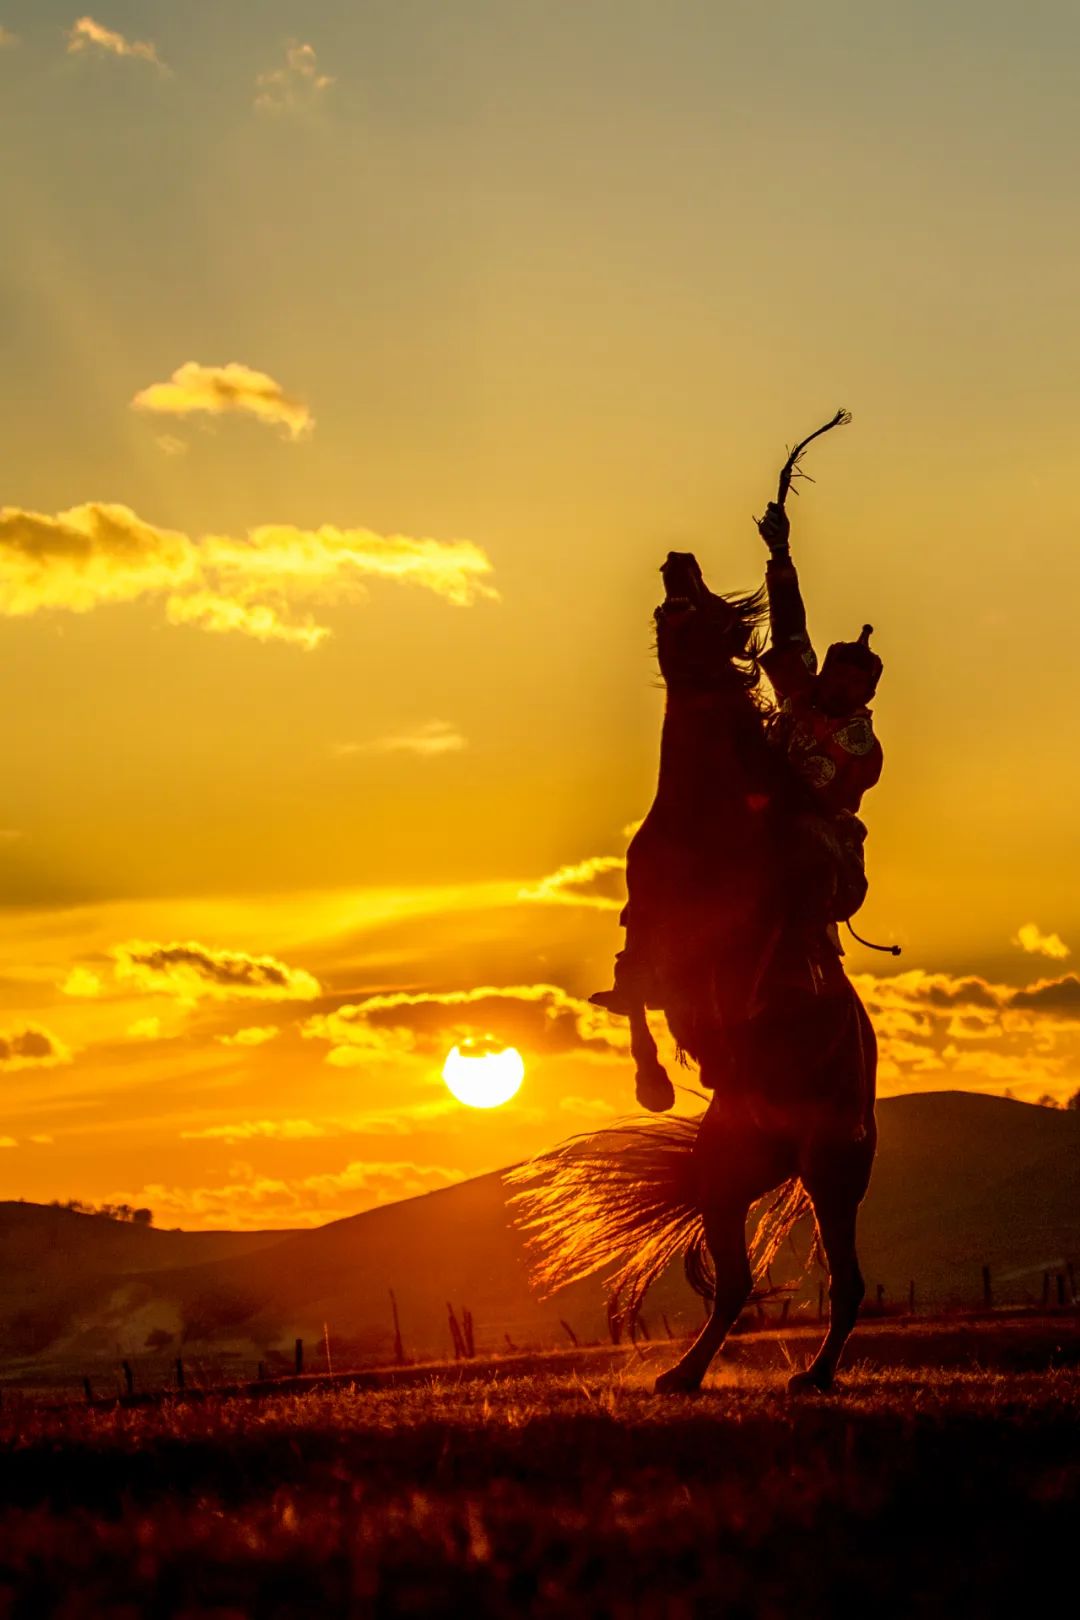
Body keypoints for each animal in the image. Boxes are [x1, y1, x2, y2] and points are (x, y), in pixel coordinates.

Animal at [514, 554, 880, 1393]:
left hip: (833, 1169)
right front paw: (654, 1080)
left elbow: (685, 992)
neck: (709, 812)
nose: (677, 561)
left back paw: (811, 1375)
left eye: (701, 608)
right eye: (671, 605)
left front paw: (671, 1070)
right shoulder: (647, 923)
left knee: (846, 1284)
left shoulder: (724, 940)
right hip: (725, 1176)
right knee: (739, 1283)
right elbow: (632, 992)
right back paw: (683, 1374)